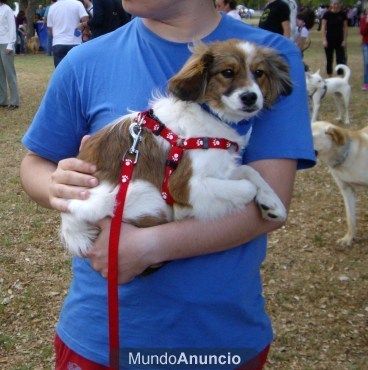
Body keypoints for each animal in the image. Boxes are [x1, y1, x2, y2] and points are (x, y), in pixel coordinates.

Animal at [61, 39, 294, 256]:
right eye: (228, 72)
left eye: (259, 73)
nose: (250, 97)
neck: (212, 115)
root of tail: (71, 227)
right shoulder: (185, 185)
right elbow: (247, 186)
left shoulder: (220, 167)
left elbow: (250, 171)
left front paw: (272, 202)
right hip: (139, 194)